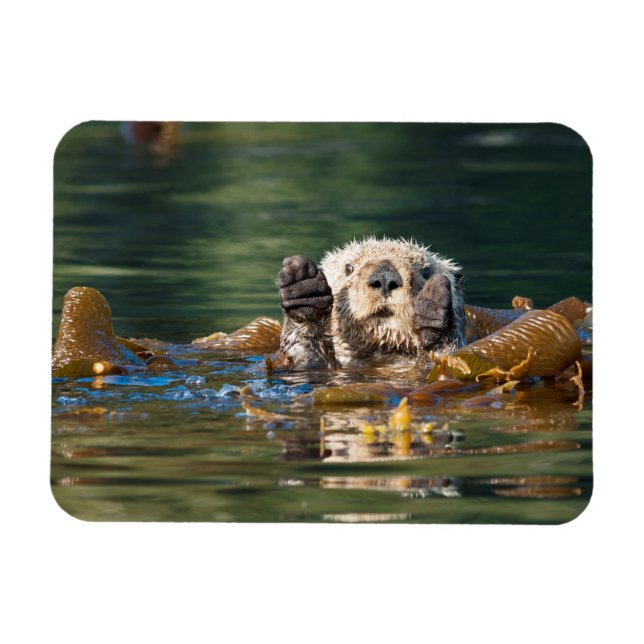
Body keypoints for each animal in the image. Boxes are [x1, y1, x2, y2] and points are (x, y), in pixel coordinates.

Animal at [277, 237, 466, 369]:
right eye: (348, 268)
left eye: (426, 271)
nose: (385, 277)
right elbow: (304, 354)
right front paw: (303, 287)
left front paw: (432, 310)